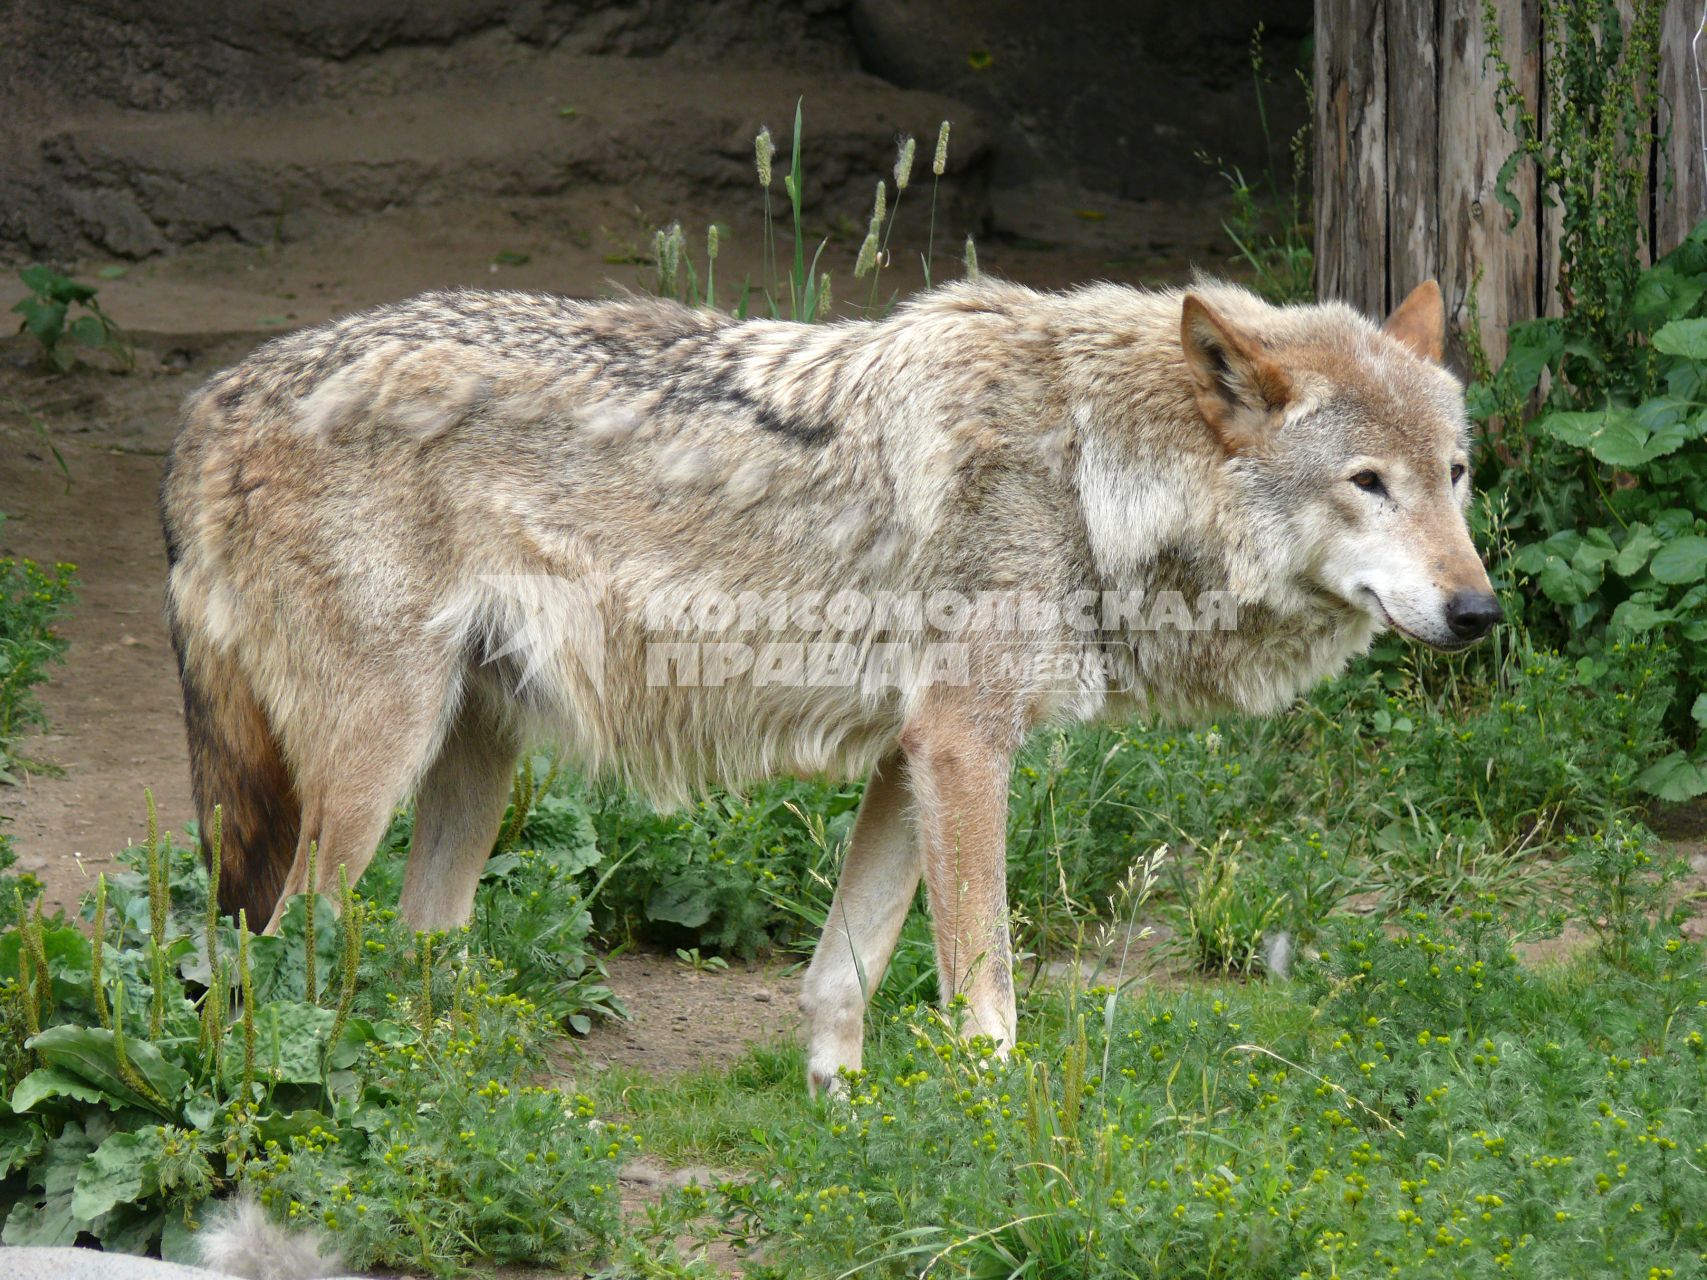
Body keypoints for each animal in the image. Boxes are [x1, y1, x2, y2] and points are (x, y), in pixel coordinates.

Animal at [160, 271, 1495, 1092]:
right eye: (1368, 483)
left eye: (1456, 474)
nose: (1480, 610)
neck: (1086, 468)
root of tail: (207, 400)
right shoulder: (964, 746)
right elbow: (985, 988)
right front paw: (1000, 1133)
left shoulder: (913, 757)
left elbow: (842, 973)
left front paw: (844, 1110)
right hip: (370, 773)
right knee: (274, 955)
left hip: (470, 764)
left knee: (407, 949)